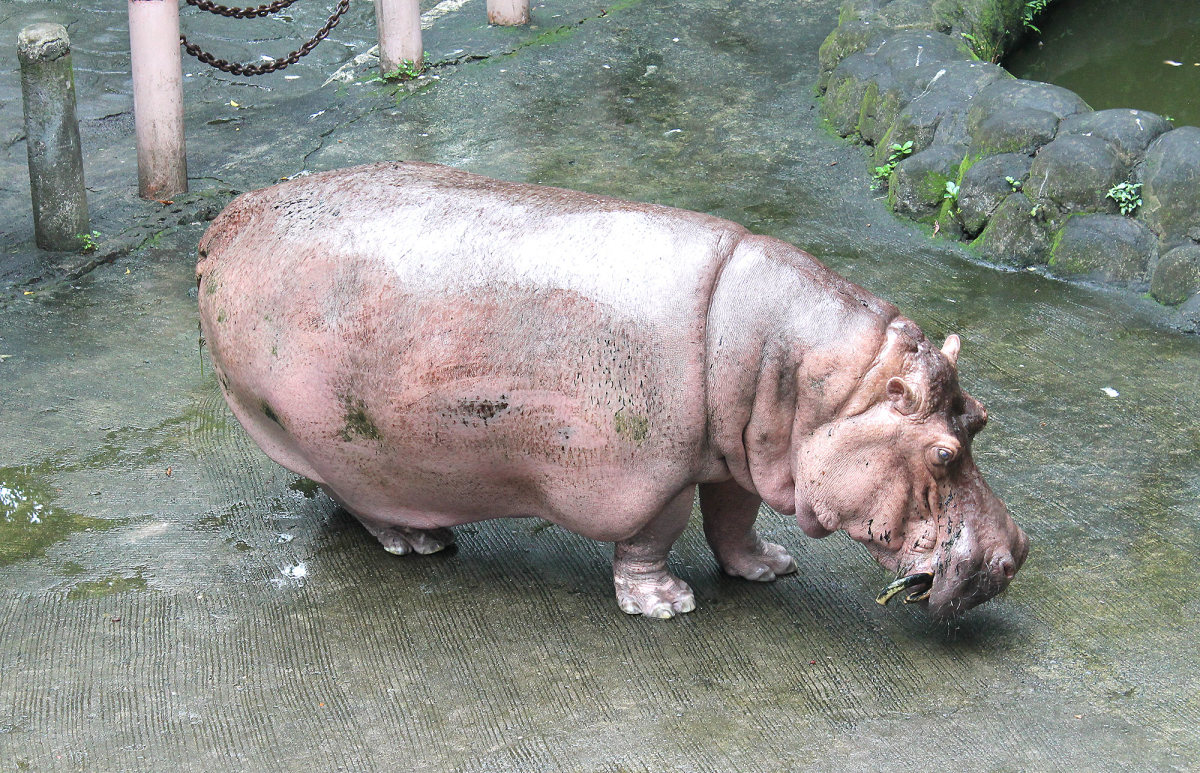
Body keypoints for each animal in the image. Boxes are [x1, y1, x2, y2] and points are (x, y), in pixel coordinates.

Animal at [196, 161, 1028, 620]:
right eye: (943, 453)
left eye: (982, 416)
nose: (1015, 553)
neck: (808, 380)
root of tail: (228, 219)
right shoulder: (652, 471)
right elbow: (656, 535)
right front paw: (667, 605)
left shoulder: (739, 454)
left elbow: (734, 517)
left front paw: (767, 567)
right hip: (331, 435)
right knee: (361, 497)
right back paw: (420, 542)